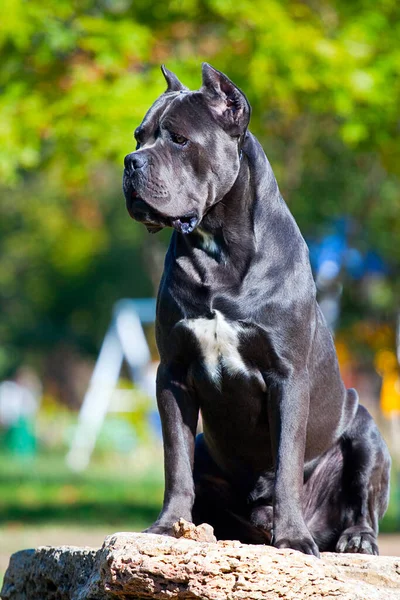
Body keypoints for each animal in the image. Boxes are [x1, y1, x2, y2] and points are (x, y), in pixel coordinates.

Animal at [122, 63, 390, 556]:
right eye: (139, 136)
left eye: (179, 139)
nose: (131, 162)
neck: (218, 250)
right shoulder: (173, 373)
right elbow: (175, 462)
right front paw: (167, 527)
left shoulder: (287, 377)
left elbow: (286, 463)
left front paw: (294, 539)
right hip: (208, 444)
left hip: (366, 430)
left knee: (362, 494)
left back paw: (354, 539)